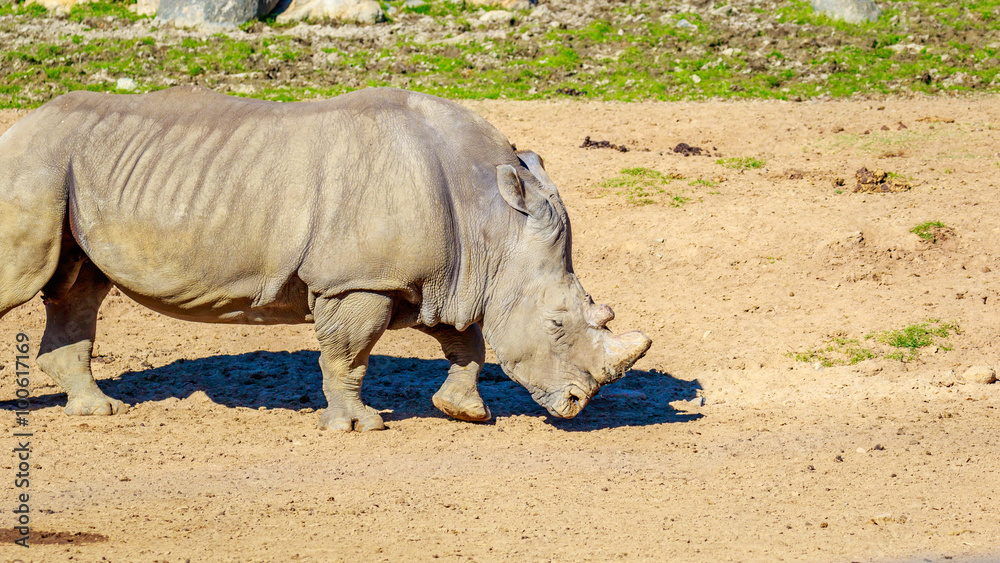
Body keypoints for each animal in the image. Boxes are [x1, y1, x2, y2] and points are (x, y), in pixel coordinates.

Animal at [0, 86, 651, 431]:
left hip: (63, 170)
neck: (493, 226)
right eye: (557, 325)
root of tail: (20, 129)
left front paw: (464, 413)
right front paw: (359, 426)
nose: (576, 405)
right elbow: (349, 354)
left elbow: (468, 342)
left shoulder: (434, 278)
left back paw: (97, 410)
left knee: (80, 288)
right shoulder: (359, 280)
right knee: (32, 282)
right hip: (35, 164)